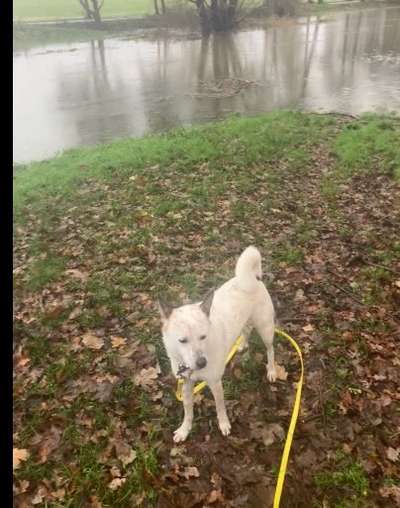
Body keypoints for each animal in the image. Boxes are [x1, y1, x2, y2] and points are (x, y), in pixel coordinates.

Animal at [158, 245, 276, 440]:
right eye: (182, 340)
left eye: (203, 336)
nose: (201, 363)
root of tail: (251, 279)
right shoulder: (186, 384)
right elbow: (188, 410)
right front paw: (184, 429)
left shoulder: (215, 383)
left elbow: (220, 407)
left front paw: (224, 424)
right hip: (245, 321)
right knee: (246, 330)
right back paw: (241, 344)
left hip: (266, 329)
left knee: (270, 349)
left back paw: (272, 370)